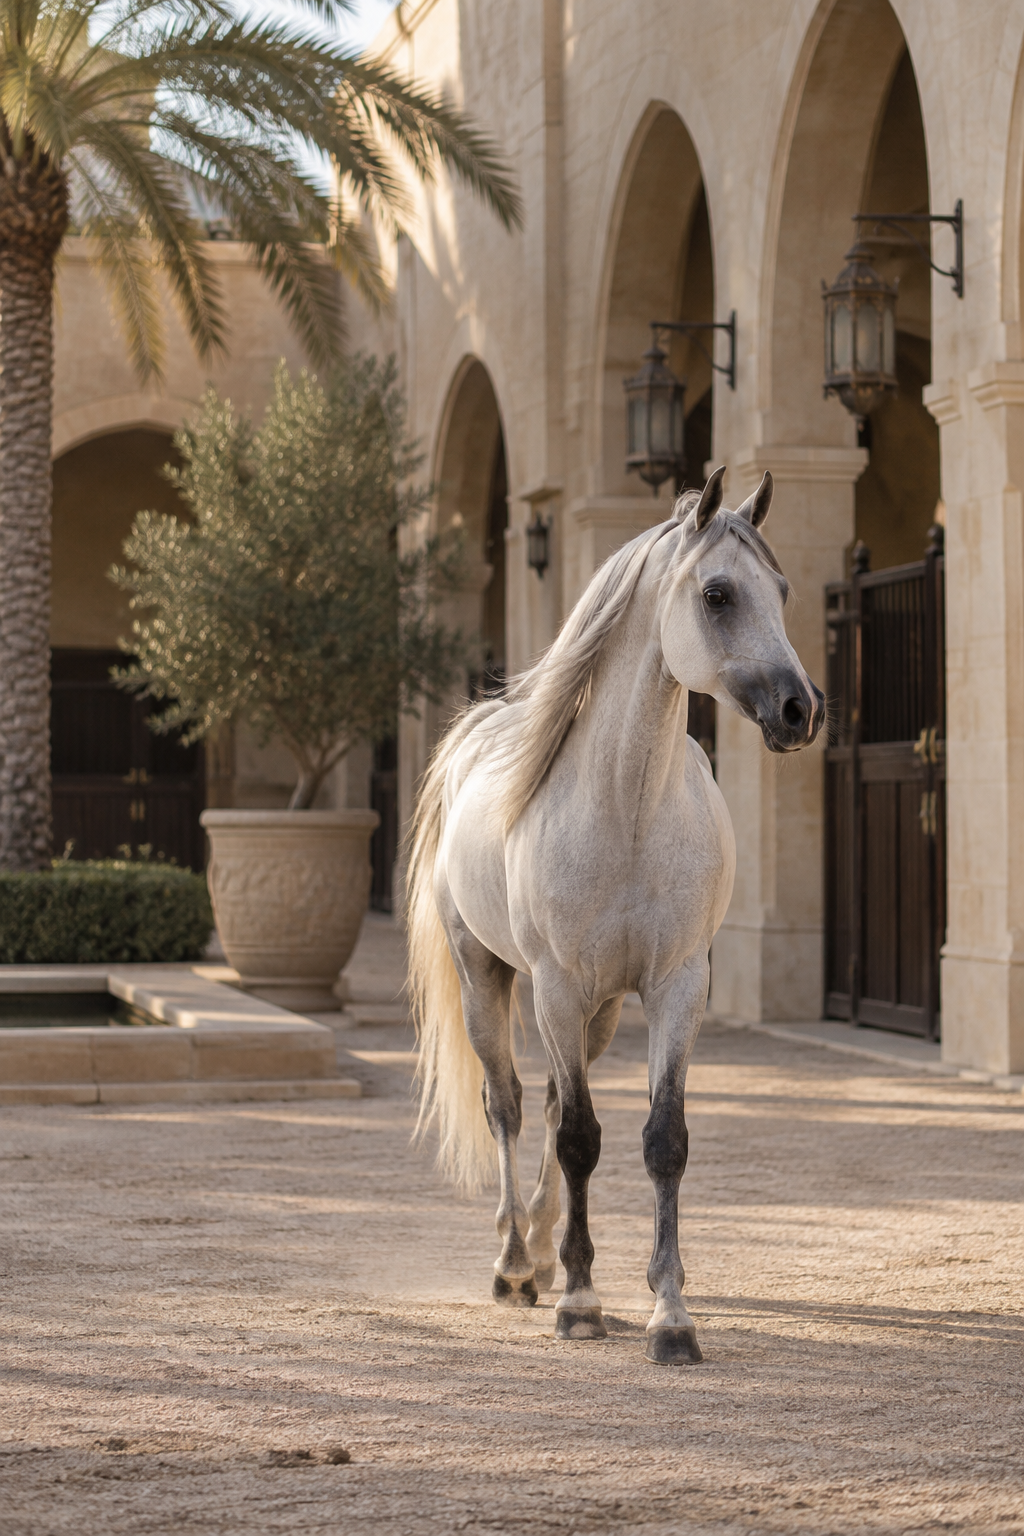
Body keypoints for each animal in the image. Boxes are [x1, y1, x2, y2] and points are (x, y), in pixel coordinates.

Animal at [406, 465, 825, 1365]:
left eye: (781, 590)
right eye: (717, 594)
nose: (801, 710)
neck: (628, 811)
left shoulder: (676, 989)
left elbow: (661, 1139)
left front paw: (670, 1314)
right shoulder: (557, 989)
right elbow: (578, 1139)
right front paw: (582, 1302)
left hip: (596, 1012)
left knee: (555, 1104)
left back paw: (544, 1248)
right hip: (490, 980)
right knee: (510, 1104)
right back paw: (516, 1263)